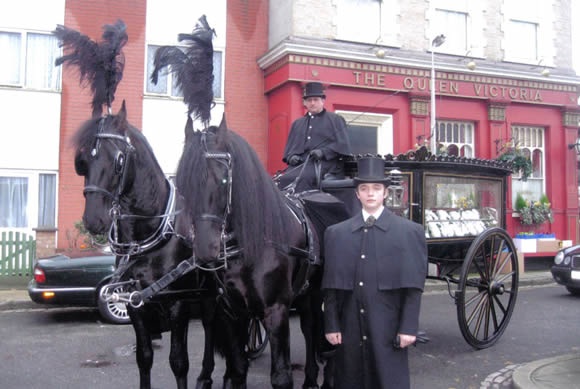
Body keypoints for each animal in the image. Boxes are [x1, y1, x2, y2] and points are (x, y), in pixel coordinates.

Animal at [176, 113, 336, 386]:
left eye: (224, 179)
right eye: (182, 183)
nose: (206, 250)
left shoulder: (277, 310)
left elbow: (281, 376)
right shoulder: (232, 311)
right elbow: (238, 367)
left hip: (318, 292)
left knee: (312, 327)